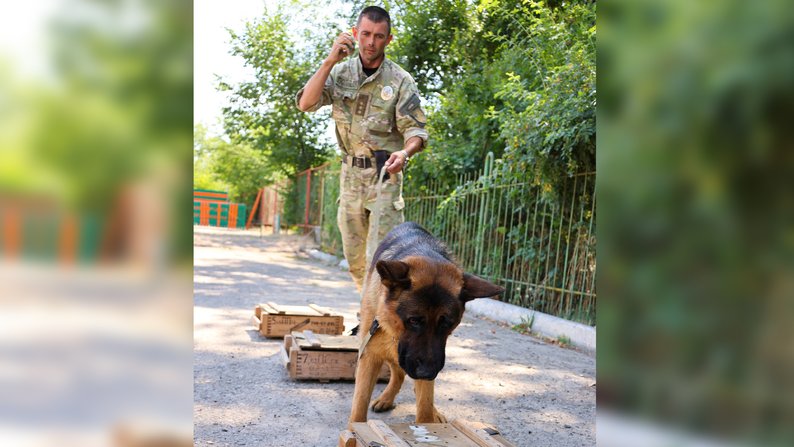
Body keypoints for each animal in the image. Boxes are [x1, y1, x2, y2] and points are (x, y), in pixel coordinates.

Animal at [350, 222, 504, 426]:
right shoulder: (370, 355)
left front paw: (428, 418)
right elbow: (359, 405)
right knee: (398, 373)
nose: (427, 372)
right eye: (414, 320)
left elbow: (424, 407)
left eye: (448, 323)